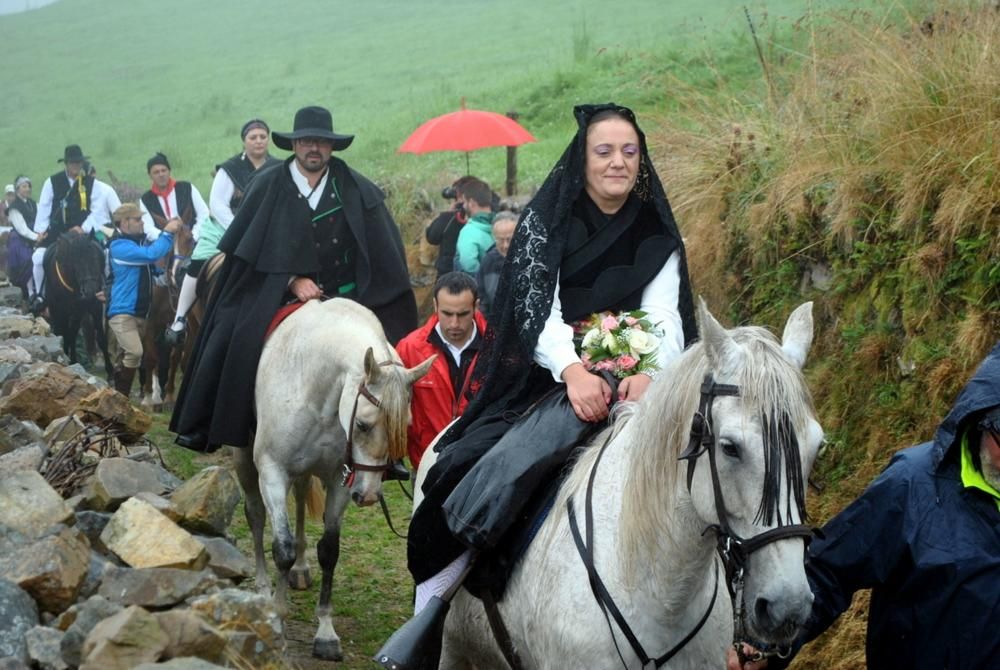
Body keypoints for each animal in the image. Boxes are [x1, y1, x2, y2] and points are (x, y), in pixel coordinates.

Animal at [238, 302, 438, 664]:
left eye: (405, 425)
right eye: (362, 425)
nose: (369, 495)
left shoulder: (340, 480)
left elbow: (329, 550)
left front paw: (326, 632)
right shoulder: (272, 471)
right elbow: (281, 548)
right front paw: (277, 615)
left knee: (301, 495)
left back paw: (300, 569)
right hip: (244, 459)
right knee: (256, 517)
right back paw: (261, 589)